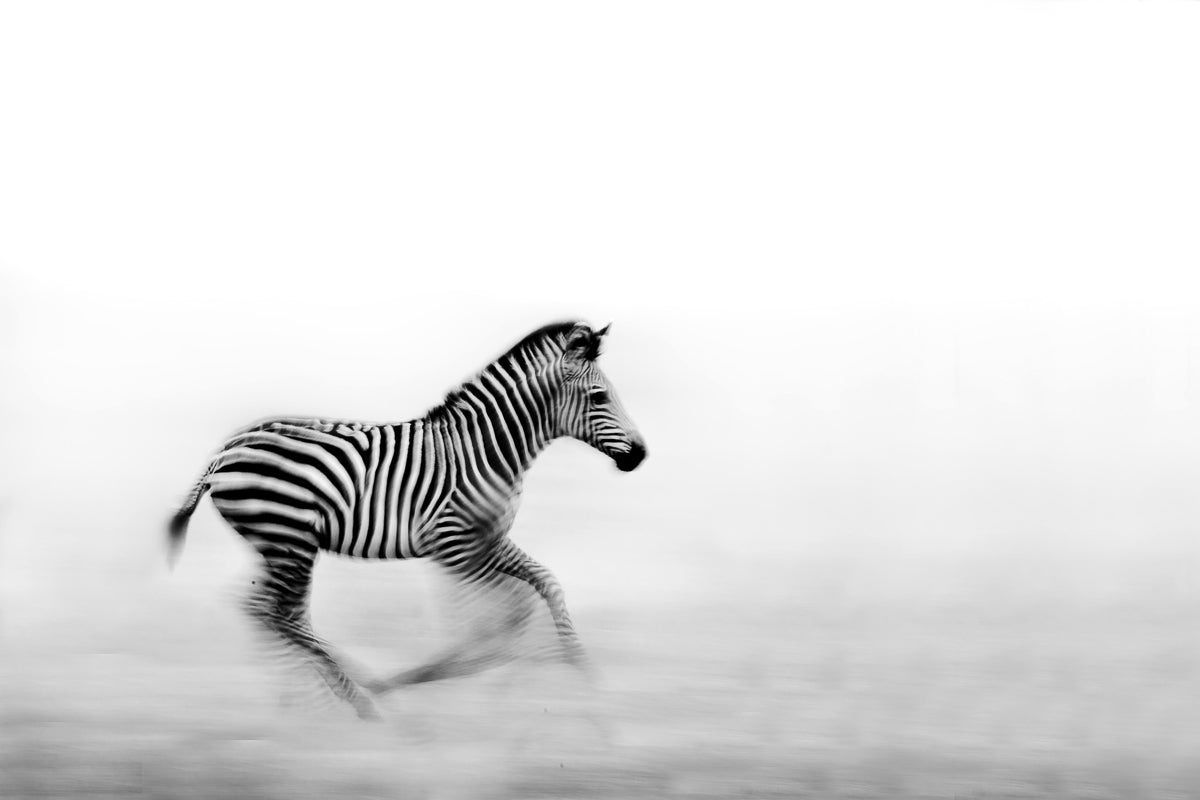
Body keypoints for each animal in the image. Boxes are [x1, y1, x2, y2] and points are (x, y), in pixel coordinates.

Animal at [168, 321, 646, 719]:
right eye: (600, 397)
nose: (640, 455)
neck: (488, 451)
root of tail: (227, 450)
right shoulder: (455, 547)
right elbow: (493, 620)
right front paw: (459, 679)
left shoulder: (488, 541)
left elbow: (544, 588)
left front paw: (584, 677)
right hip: (290, 539)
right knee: (273, 611)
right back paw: (358, 700)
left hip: (279, 543)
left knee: (274, 611)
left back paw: (310, 701)